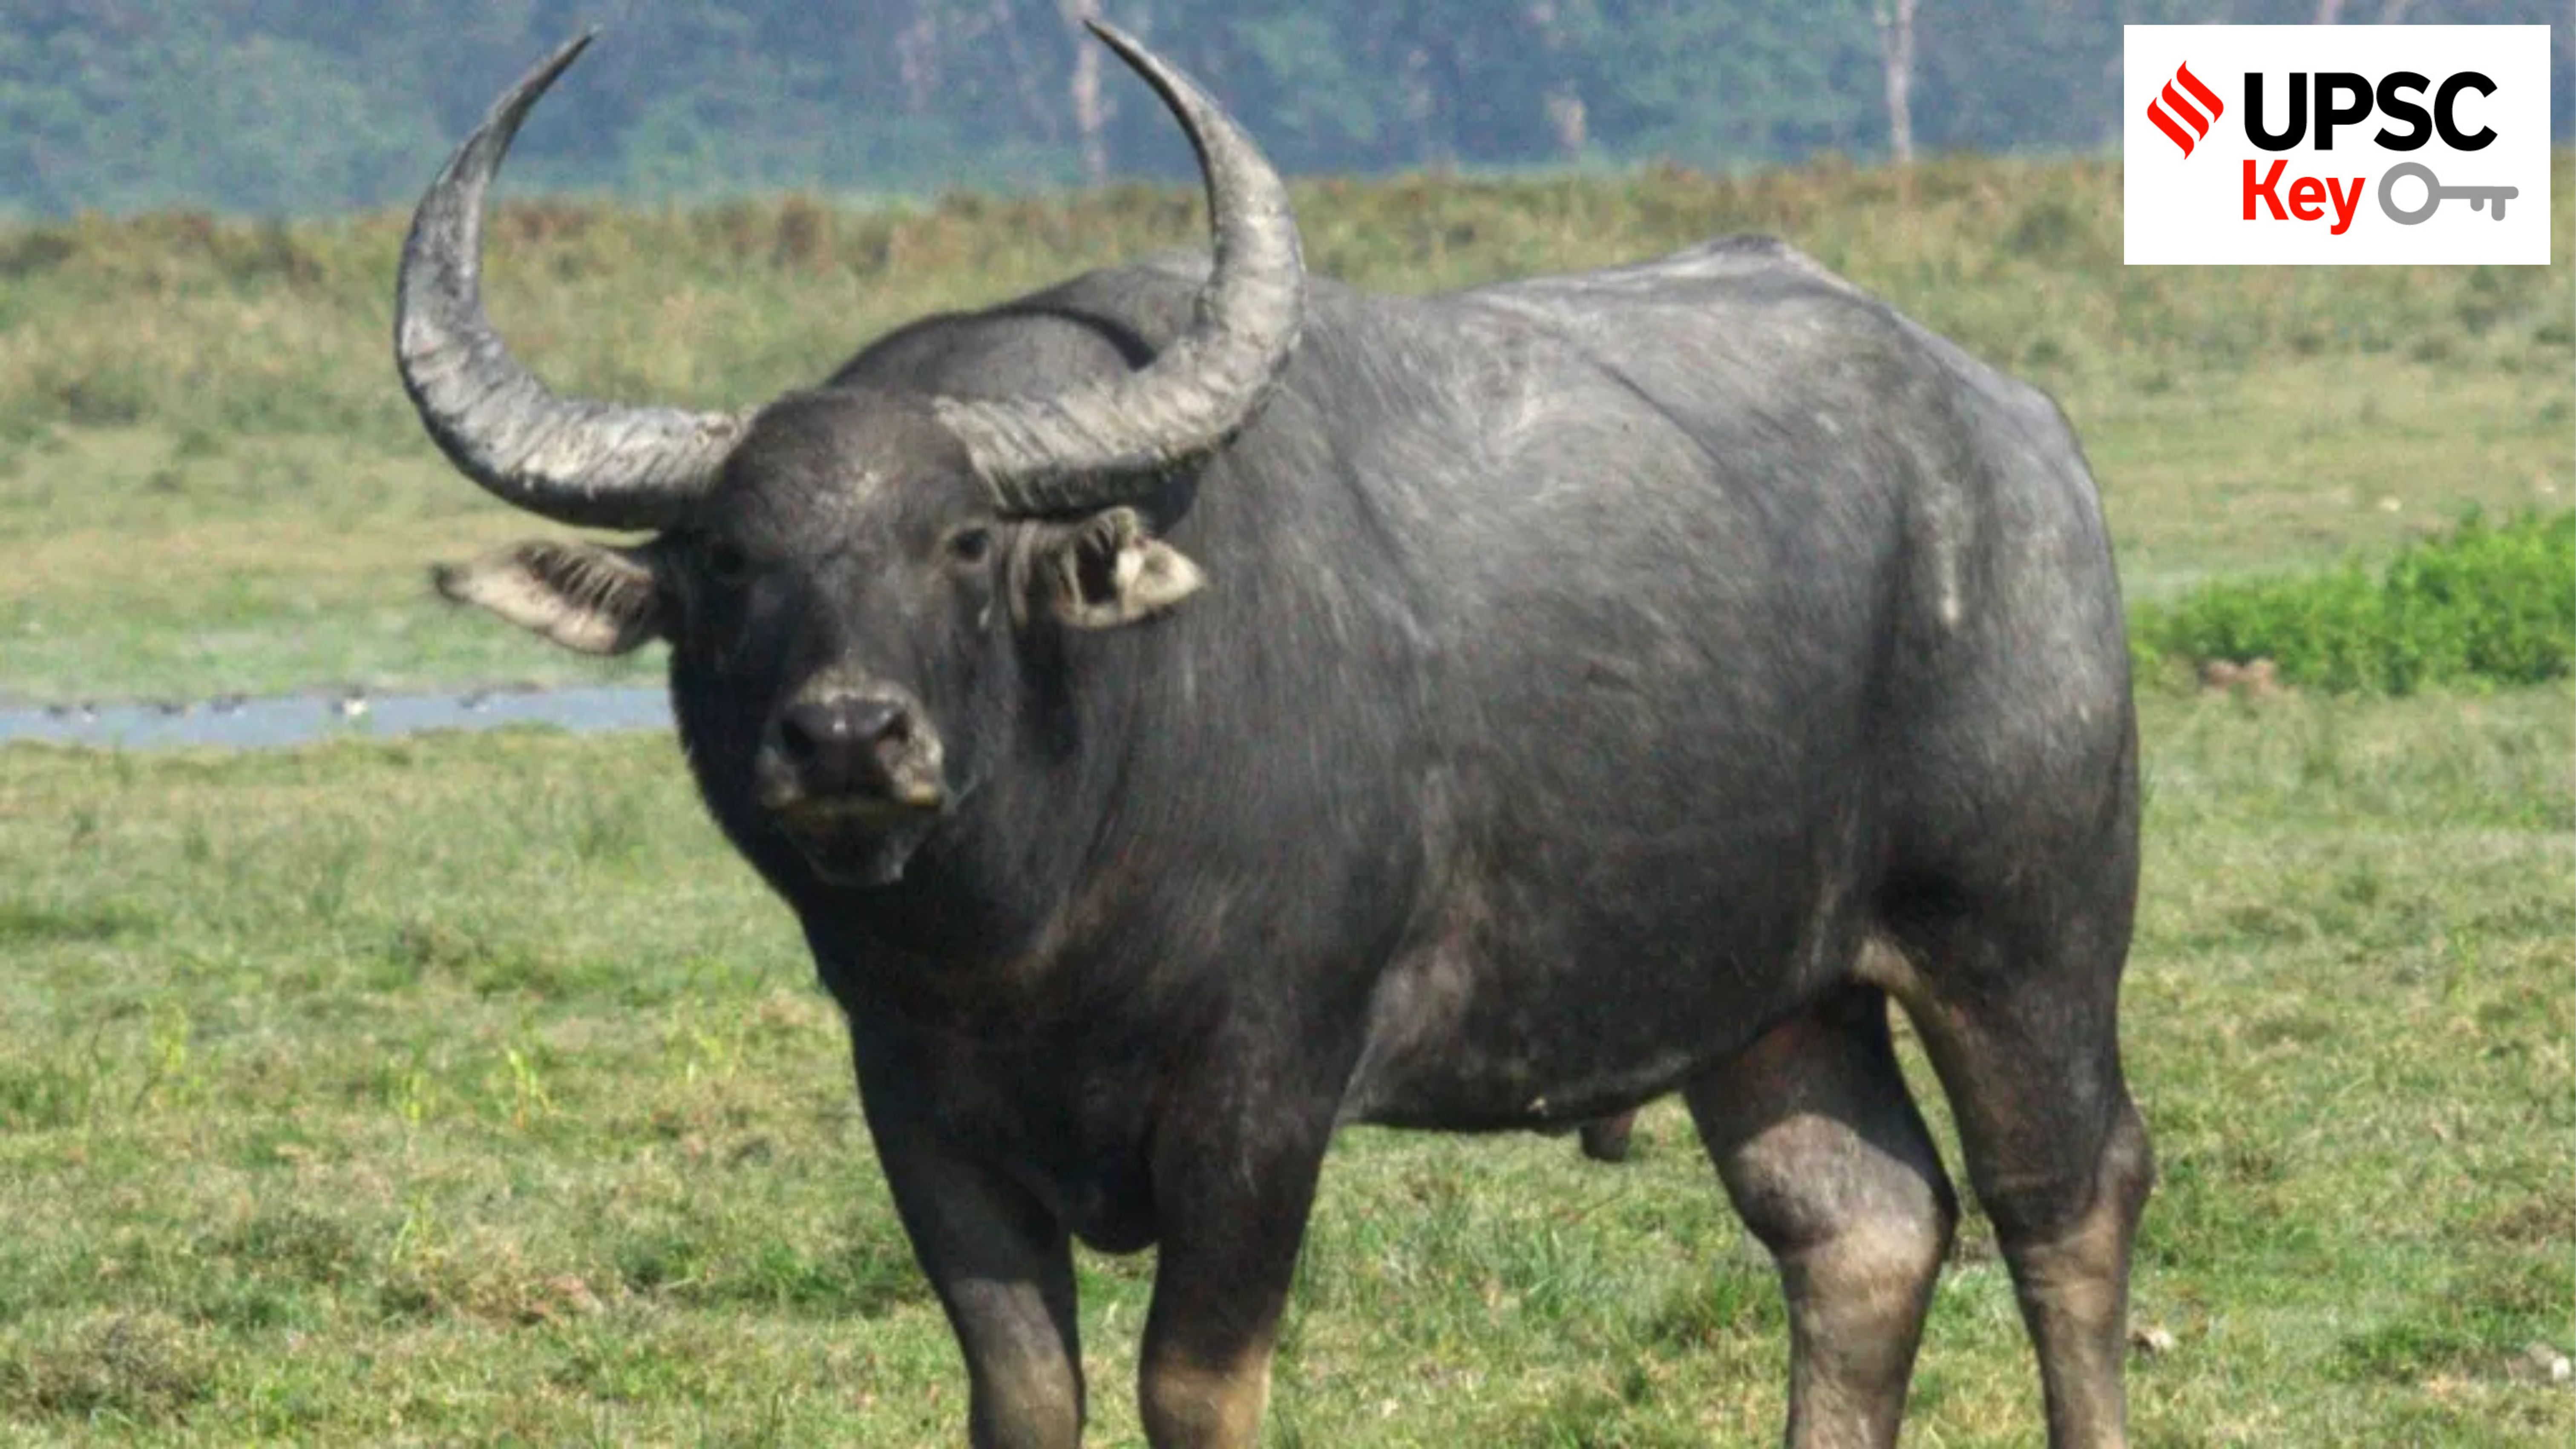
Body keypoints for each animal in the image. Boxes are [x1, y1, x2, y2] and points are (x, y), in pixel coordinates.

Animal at [398, 26, 2152, 1448]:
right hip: (1768, 997)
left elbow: (1192, 1383)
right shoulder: (916, 1104)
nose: (843, 737)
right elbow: (1022, 1389)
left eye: (960, 543)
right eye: (722, 559)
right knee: (1858, 1226)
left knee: (2062, 1204)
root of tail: (2019, 436)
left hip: (2022, 935)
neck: (1030, 919)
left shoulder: (1263, 1088)